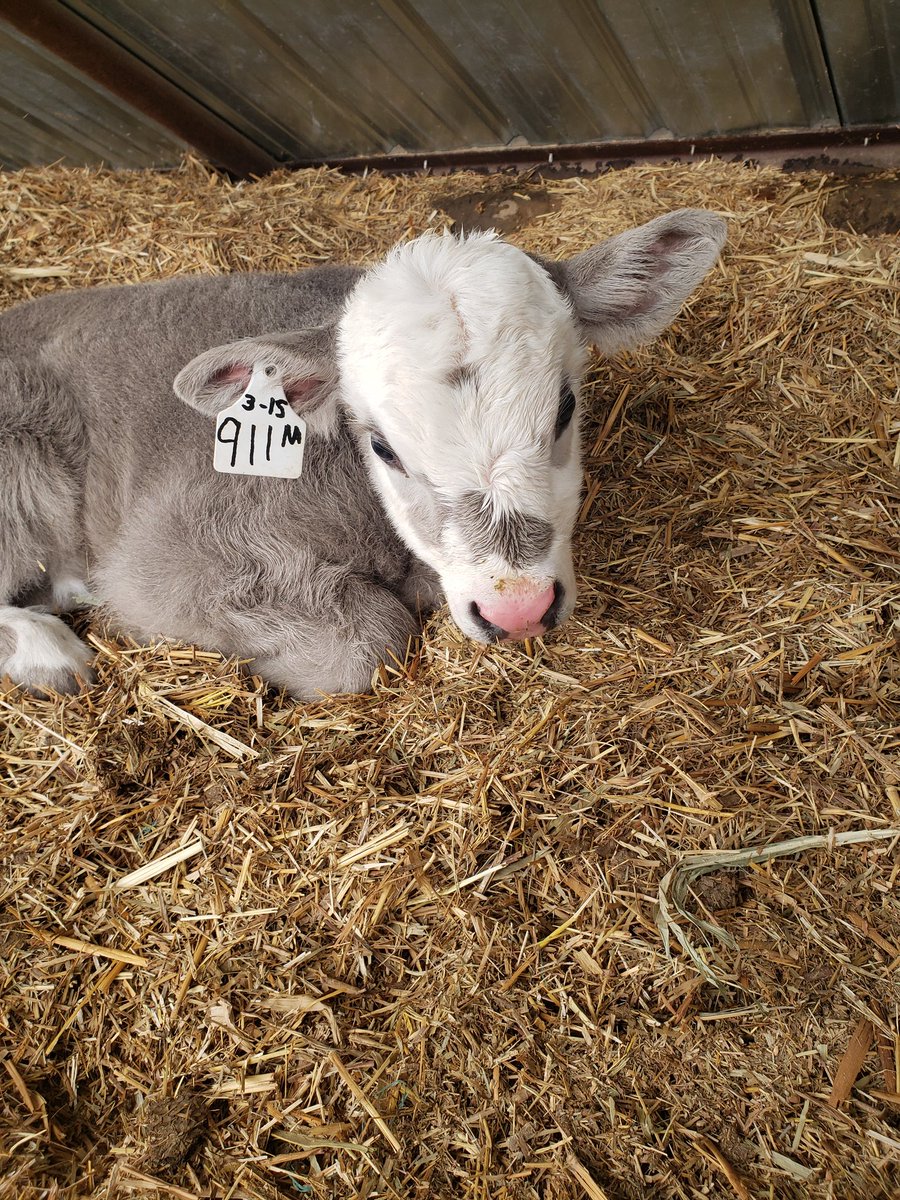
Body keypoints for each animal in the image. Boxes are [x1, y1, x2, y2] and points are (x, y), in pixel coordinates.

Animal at [0, 210, 725, 699]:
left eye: (566, 410)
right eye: (382, 446)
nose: (517, 611)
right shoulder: (168, 556)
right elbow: (371, 643)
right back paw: (48, 650)